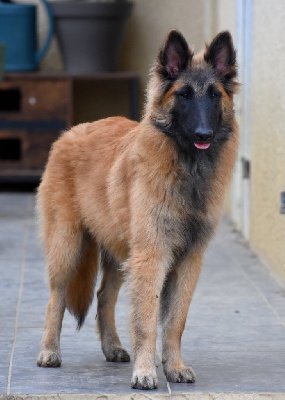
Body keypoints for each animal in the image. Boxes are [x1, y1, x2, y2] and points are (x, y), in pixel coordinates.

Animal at [36, 28, 239, 390]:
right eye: (184, 95)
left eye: (214, 96)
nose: (204, 133)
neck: (187, 169)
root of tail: (70, 132)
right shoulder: (152, 255)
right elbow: (146, 319)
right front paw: (145, 372)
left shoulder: (188, 261)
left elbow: (174, 321)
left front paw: (174, 366)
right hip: (68, 247)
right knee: (56, 296)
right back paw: (49, 351)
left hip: (119, 254)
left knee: (104, 296)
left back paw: (112, 347)